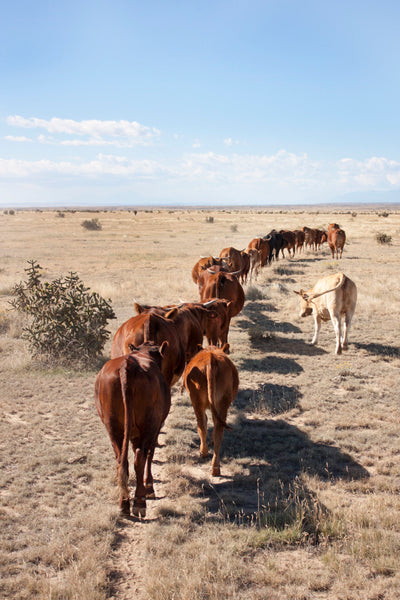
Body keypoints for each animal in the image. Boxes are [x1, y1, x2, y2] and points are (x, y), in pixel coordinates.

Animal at [94, 342, 171, 516]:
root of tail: (126, 365)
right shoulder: (155, 428)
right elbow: (150, 453)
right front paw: (149, 486)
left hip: (112, 427)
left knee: (121, 461)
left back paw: (124, 503)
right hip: (149, 424)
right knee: (140, 457)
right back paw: (140, 502)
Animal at [184, 344, 238, 476]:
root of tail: (211, 359)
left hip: (196, 402)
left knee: (201, 425)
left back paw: (204, 453)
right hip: (222, 403)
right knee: (218, 429)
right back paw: (215, 467)